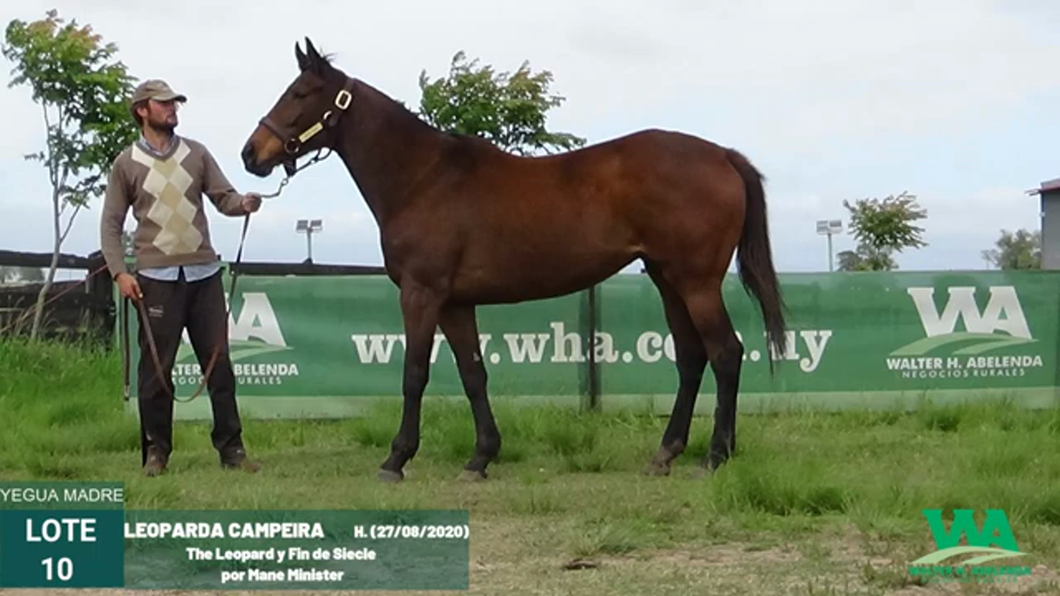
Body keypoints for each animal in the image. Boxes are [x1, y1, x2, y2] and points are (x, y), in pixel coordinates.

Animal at [242, 37, 788, 479]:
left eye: (299, 93)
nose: (251, 154)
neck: (423, 178)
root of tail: (722, 155)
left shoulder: (421, 294)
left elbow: (414, 374)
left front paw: (396, 458)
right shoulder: (455, 303)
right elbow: (473, 374)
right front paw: (481, 457)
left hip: (696, 283)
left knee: (725, 354)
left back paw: (715, 456)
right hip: (667, 279)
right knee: (693, 358)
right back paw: (667, 453)